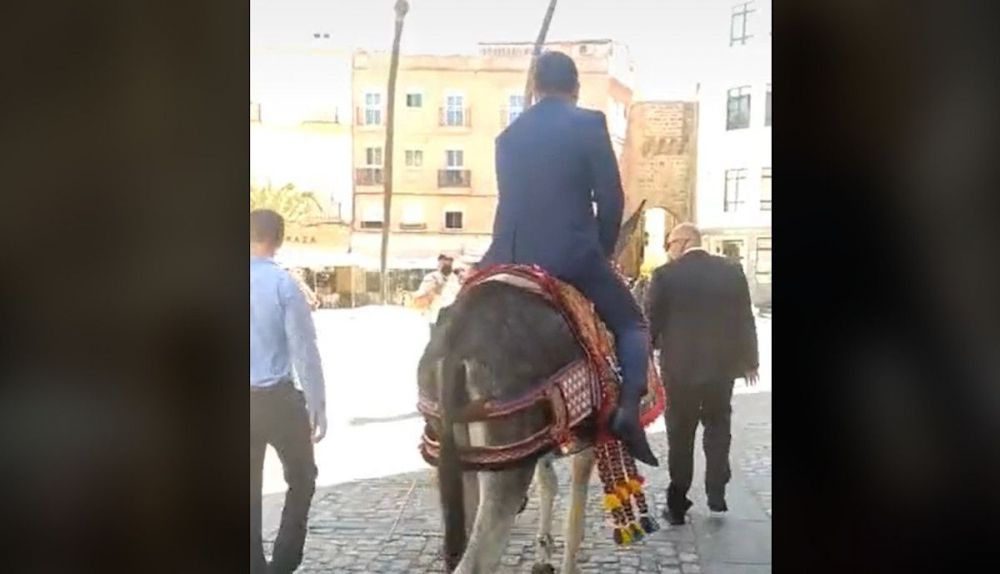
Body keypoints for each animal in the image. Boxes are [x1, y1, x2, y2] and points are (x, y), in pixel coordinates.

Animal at [417, 280, 600, 574]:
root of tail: (456, 348)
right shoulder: (590, 436)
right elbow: (575, 519)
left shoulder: (541, 443)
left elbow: (549, 483)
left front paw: (543, 556)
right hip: (504, 462)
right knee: (476, 561)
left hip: (463, 455)